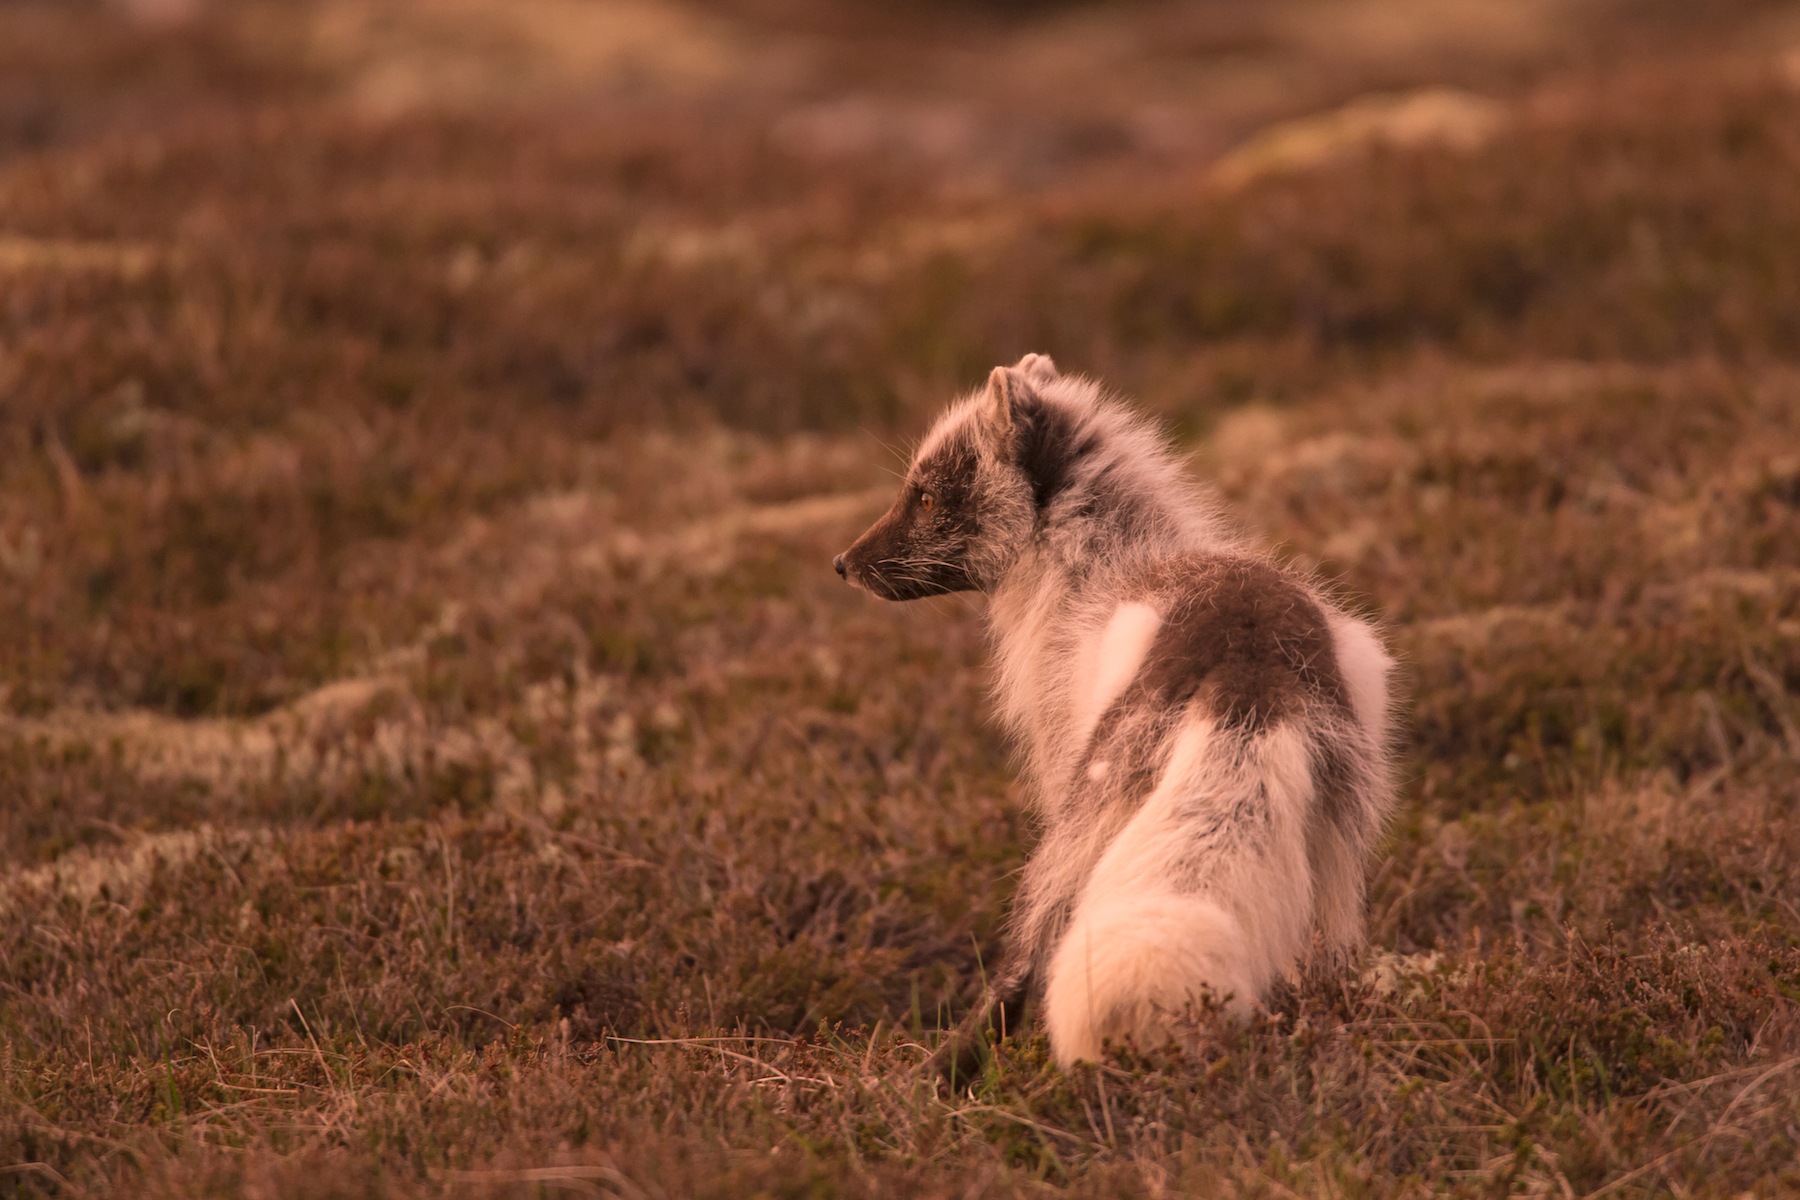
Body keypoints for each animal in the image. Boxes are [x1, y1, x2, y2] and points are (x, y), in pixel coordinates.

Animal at [833, 355, 1397, 1069]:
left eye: (927, 496)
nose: (841, 563)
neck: (1093, 568)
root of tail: (1249, 658)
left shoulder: (1059, 751)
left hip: (1086, 803)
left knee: (1027, 948)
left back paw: (954, 1064)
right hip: (1341, 839)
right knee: (1325, 961)